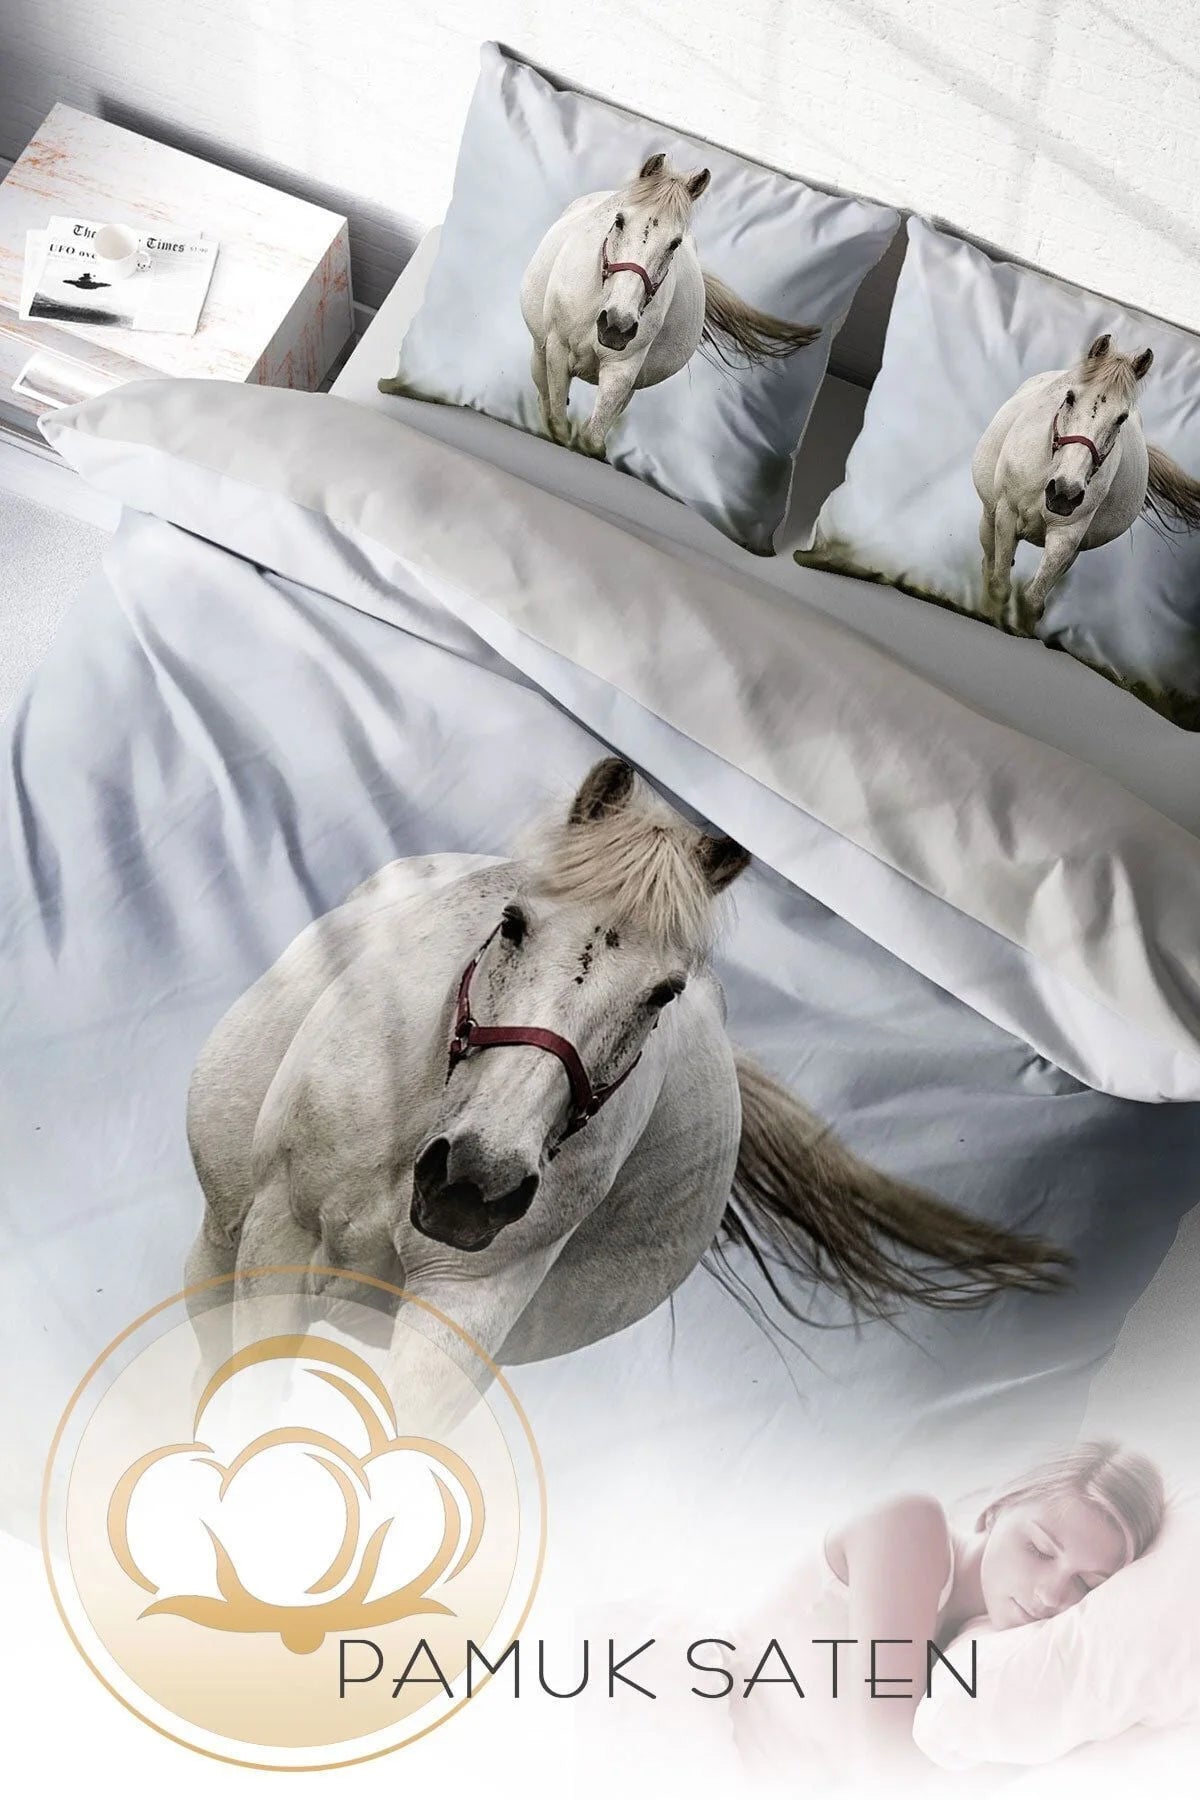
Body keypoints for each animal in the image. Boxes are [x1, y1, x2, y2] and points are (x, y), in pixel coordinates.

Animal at [184, 758, 1068, 1409]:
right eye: (513, 924)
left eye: (663, 994)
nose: (474, 1182)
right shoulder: (277, 1242)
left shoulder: (462, 1310)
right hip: (223, 1242)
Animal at [519, 153, 820, 458]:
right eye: (619, 221)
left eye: (674, 243)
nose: (617, 325)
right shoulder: (558, 351)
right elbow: (558, 423)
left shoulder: (622, 372)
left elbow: (591, 440)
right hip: (540, 354)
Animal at [972, 332, 1200, 629]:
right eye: (1070, 397)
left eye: (1121, 418)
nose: (1064, 493)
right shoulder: (1006, 514)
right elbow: (999, 585)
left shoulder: (1066, 538)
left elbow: (1032, 599)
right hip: (989, 518)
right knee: (988, 564)